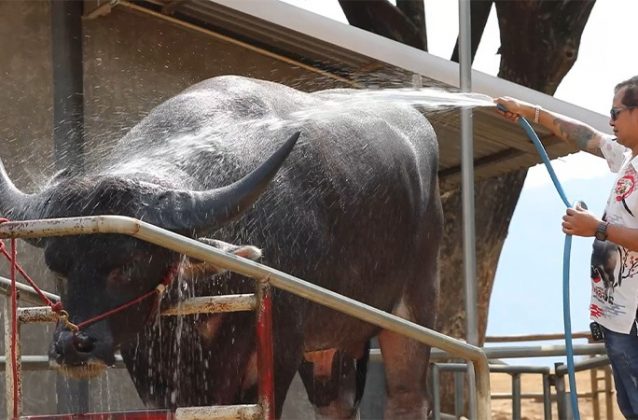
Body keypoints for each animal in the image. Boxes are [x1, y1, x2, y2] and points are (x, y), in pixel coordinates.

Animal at [0, 76, 440, 420]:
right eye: (57, 265)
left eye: (129, 263)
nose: (74, 345)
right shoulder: (155, 373)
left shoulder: (275, 351)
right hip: (330, 347)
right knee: (337, 403)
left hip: (412, 312)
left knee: (408, 397)